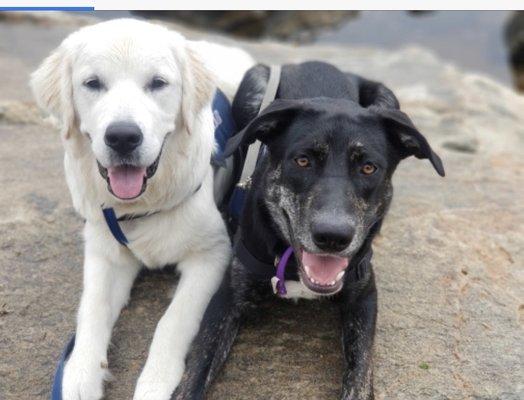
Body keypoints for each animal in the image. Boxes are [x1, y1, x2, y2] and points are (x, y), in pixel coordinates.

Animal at [30, 18, 254, 400]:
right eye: (93, 83)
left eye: (158, 83)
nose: (122, 137)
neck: (140, 206)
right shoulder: (104, 252)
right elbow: (91, 308)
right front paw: (79, 374)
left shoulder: (211, 254)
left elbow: (173, 320)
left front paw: (155, 380)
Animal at [174, 61, 444, 400]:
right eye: (302, 161)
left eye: (369, 167)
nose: (332, 237)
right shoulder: (228, 295)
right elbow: (195, 372)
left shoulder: (364, 295)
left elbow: (360, 374)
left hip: (388, 97)